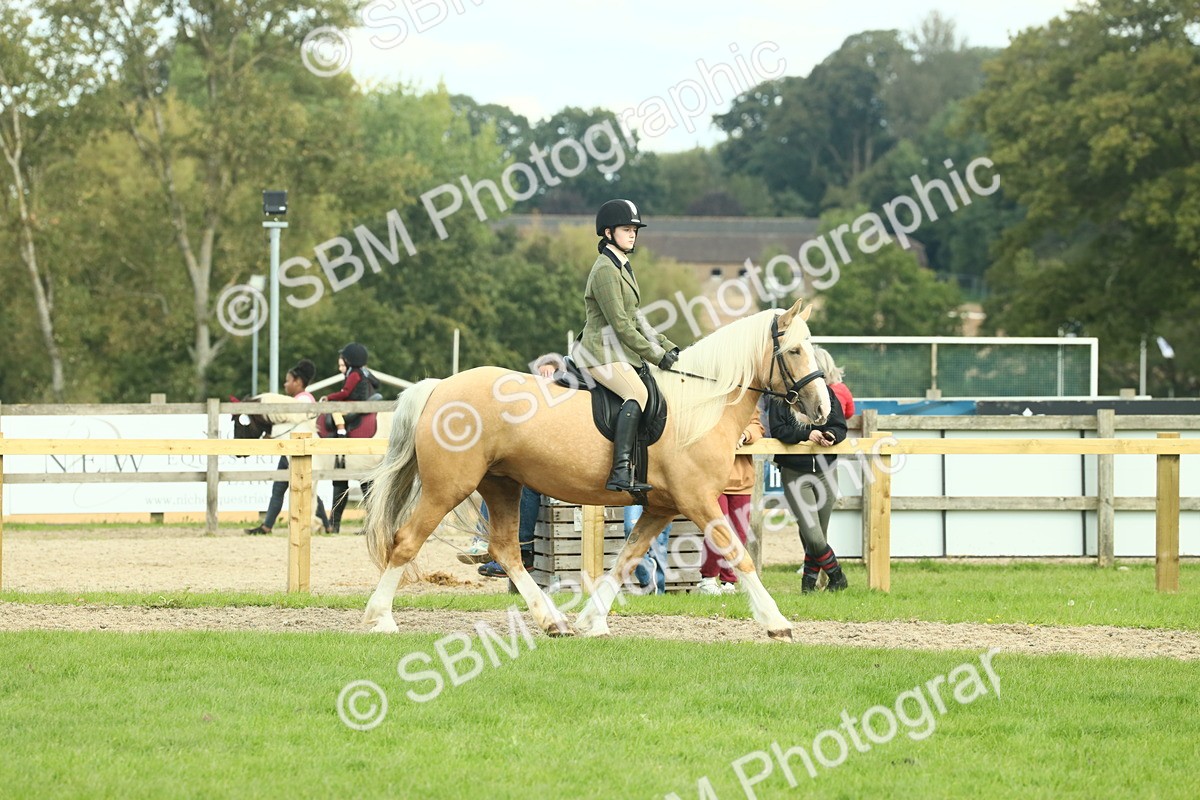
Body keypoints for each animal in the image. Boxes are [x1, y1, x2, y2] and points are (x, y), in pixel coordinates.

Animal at [362, 299, 831, 641]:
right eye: (794, 351)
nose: (823, 410)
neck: (700, 404)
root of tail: (440, 386)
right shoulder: (696, 500)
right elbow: (739, 555)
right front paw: (776, 622)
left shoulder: (661, 506)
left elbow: (625, 561)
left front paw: (593, 621)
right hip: (448, 487)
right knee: (406, 542)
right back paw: (380, 619)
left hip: (502, 485)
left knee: (507, 551)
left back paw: (553, 622)